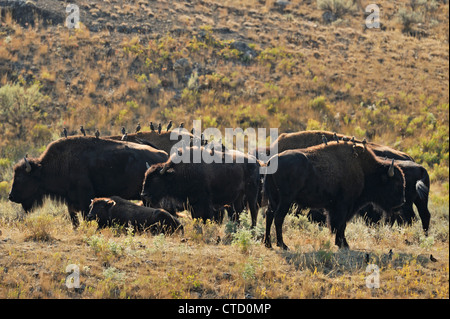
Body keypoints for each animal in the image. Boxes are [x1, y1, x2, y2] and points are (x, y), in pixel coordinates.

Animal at [8, 137, 167, 228]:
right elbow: (73, 217)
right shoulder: (70, 199)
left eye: (21, 177)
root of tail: (163, 155)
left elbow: (85, 215)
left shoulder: (85, 197)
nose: (11, 196)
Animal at [262, 142, 406, 250]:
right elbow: (341, 224)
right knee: (278, 217)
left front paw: (342, 243)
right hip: (286, 199)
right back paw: (283, 245)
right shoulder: (345, 205)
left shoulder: (336, 207)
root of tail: (270, 162)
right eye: (396, 183)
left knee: (269, 215)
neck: (364, 170)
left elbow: (338, 224)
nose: (402, 202)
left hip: (274, 199)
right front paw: (343, 244)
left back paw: (268, 244)